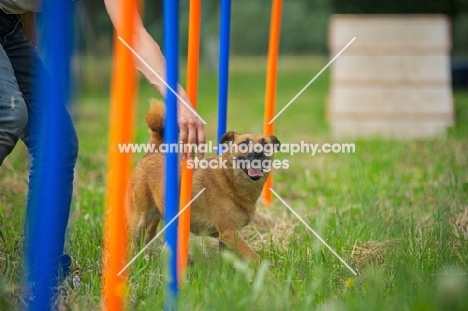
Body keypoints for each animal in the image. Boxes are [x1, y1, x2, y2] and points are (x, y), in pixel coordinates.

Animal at [127, 100, 282, 264]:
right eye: (244, 144)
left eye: (265, 145)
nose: (258, 153)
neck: (230, 180)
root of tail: (152, 153)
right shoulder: (229, 232)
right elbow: (254, 257)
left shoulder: (226, 237)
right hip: (140, 218)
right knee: (134, 242)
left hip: (154, 218)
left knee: (147, 237)